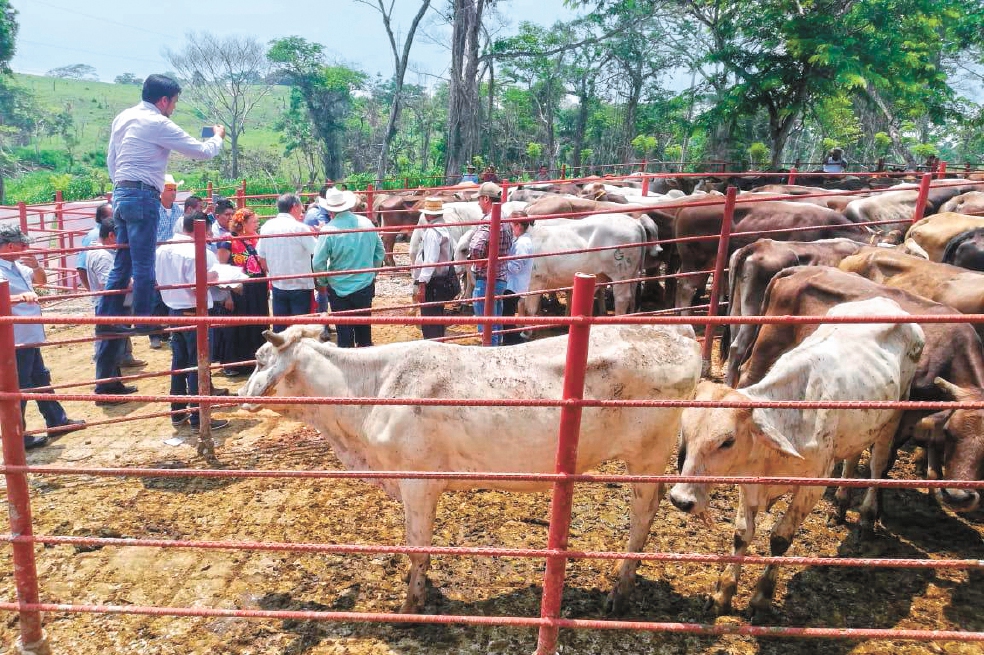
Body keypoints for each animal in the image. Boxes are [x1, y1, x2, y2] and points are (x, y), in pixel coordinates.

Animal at [242, 322, 704, 616]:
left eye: (260, 359)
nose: (244, 396)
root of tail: (677, 330)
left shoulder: (417, 482)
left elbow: (417, 544)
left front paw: (411, 604)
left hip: (646, 456)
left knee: (643, 515)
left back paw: (619, 593)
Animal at [668, 300, 924, 624]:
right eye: (685, 433)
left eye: (727, 441)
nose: (681, 499)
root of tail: (886, 302)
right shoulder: (749, 483)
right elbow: (742, 533)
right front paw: (723, 593)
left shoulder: (812, 486)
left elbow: (780, 538)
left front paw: (761, 600)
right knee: (852, 457)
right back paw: (840, 507)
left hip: (894, 414)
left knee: (877, 465)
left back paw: (867, 518)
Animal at [736, 266, 984, 512]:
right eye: (950, 432)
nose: (958, 498)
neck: (949, 354)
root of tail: (800, 269)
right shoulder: (902, 415)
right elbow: (886, 458)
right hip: (768, 344)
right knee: (747, 375)